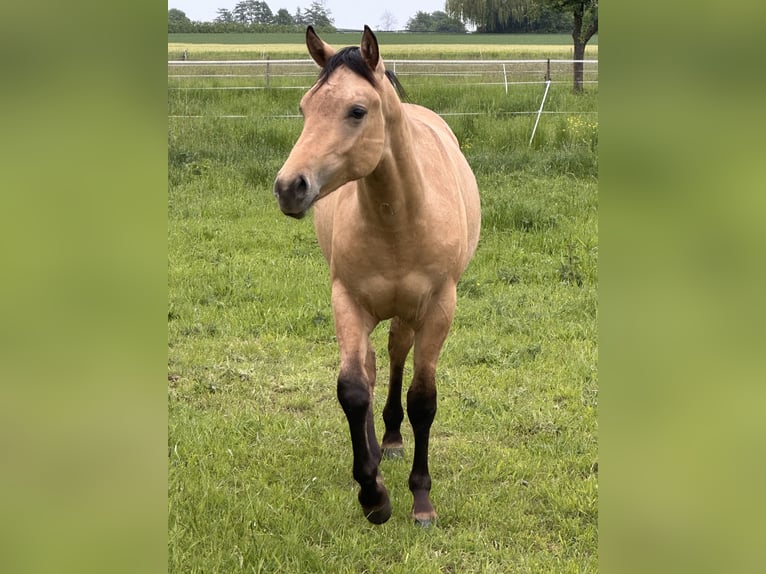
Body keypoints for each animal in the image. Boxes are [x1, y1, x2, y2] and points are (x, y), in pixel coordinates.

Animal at [273, 26, 481, 526]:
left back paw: (392, 439)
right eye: (305, 108)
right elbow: (352, 389)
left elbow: (423, 399)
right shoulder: (346, 300)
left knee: (396, 355)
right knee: (368, 371)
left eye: (357, 111)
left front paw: (421, 500)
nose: (289, 187)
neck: (399, 220)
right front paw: (373, 495)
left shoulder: (438, 308)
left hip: (408, 312)